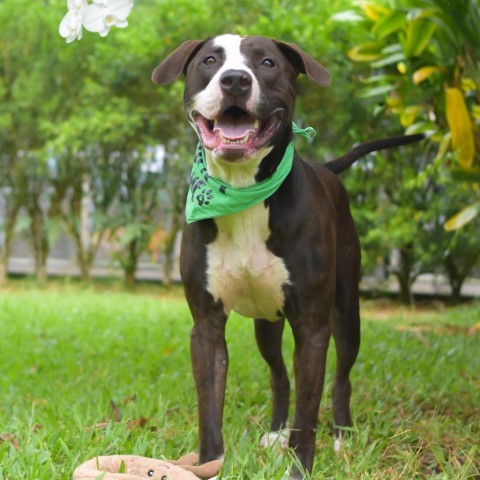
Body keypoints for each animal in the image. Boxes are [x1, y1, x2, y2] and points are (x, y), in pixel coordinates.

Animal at [152, 32, 422, 476]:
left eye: (267, 63)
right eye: (210, 60)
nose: (235, 80)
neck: (242, 192)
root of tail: (327, 168)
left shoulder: (312, 327)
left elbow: (309, 409)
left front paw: (301, 467)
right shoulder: (206, 326)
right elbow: (210, 405)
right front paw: (210, 464)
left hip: (346, 313)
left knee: (342, 376)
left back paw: (342, 436)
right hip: (266, 323)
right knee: (279, 375)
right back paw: (277, 430)